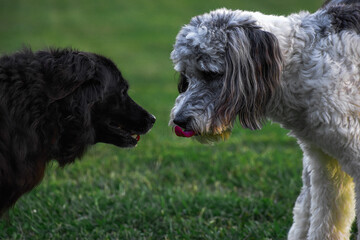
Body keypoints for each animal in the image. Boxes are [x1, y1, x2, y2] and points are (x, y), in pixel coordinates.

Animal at [170, 0, 360, 239]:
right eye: (186, 75)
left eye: (211, 73)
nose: (179, 121)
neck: (301, 61)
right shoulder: (323, 161)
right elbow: (324, 221)